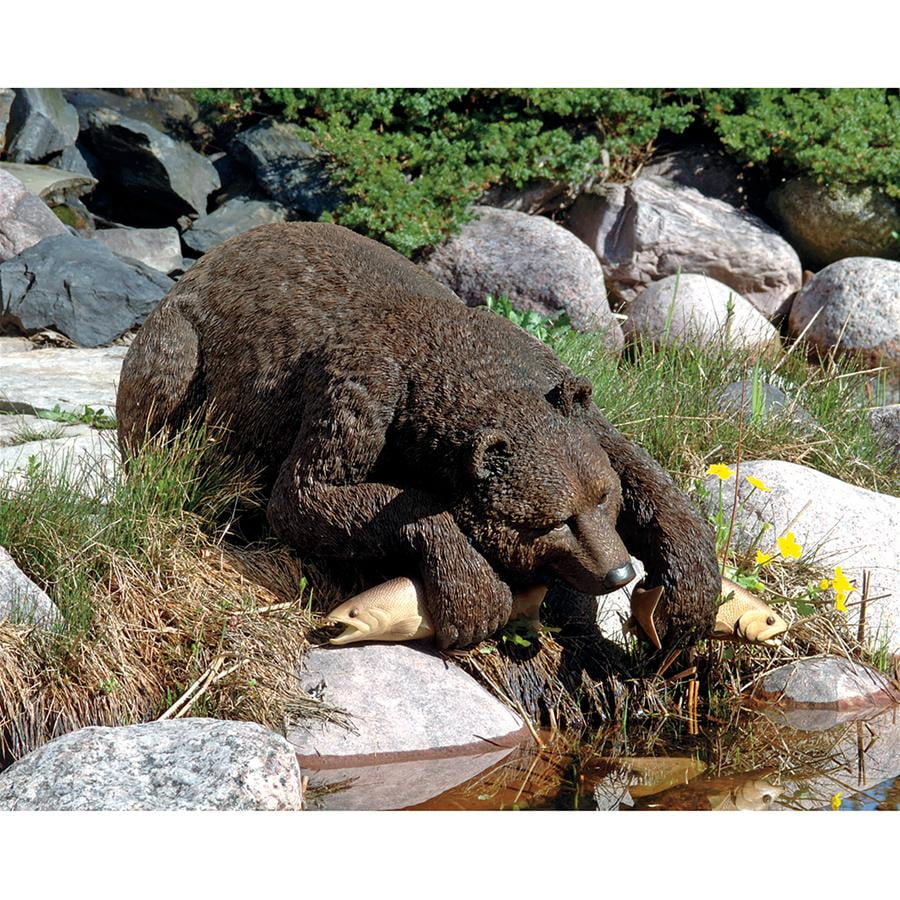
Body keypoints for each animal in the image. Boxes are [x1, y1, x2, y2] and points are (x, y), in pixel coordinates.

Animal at [116, 222, 721, 649]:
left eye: (601, 498)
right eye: (550, 522)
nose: (619, 571)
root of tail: (203, 262)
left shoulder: (554, 380)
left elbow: (635, 462)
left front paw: (685, 595)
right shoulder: (357, 391)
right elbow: (307, 496)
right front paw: (474, 596)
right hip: (180, 341)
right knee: (163, 397)